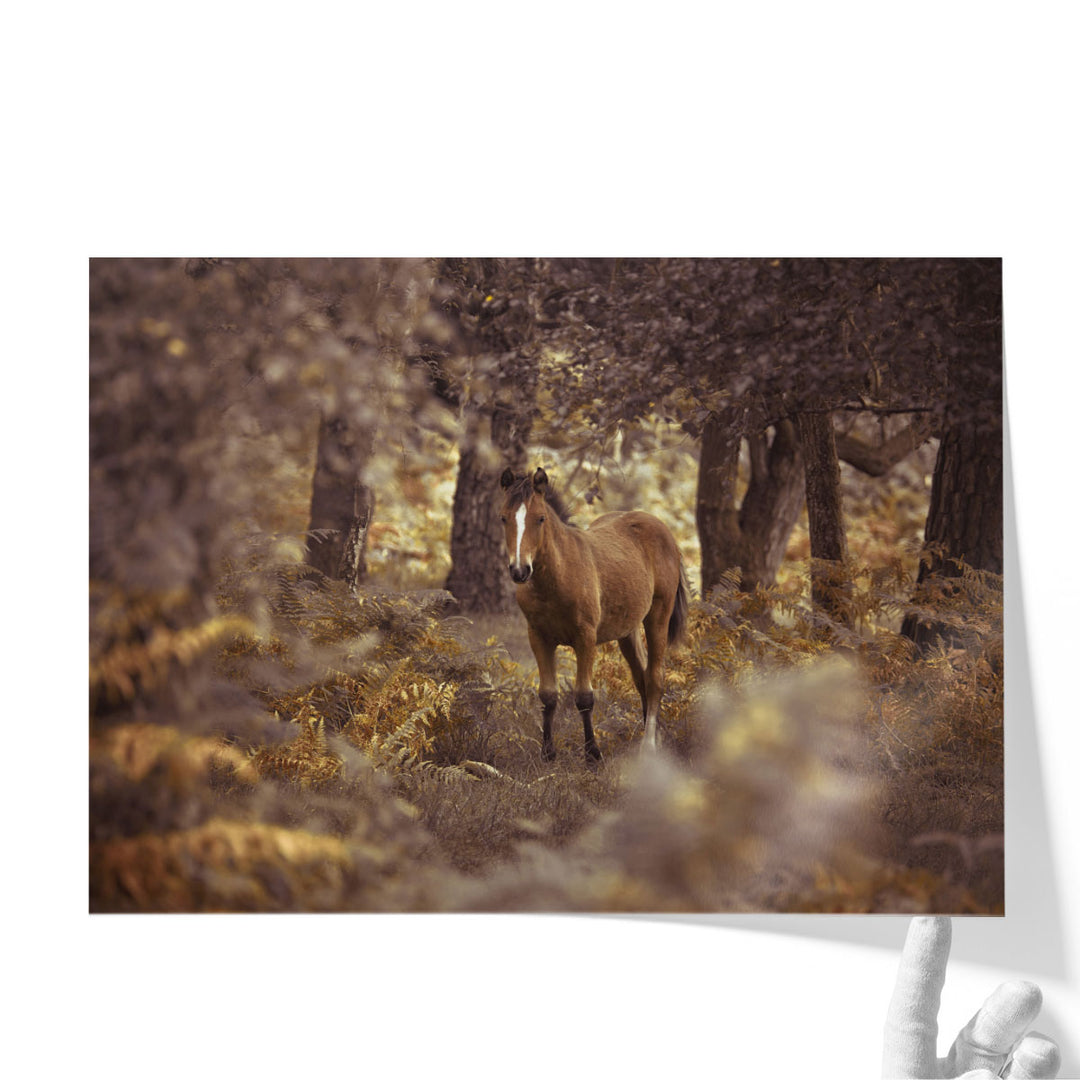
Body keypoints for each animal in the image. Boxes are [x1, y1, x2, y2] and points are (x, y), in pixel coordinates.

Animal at [499, 466, 689, 762]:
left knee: (655, 678)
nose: (520, 570)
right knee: (641, 677)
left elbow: (584, 697)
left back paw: (649, 746)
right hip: (627, 631)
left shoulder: (585, 638)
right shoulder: (538, 638)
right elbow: (548, 695)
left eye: (540, 518)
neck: (558, 576)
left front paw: (592, 754)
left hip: (658, 615)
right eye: (504, 518)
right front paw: (548, 753)